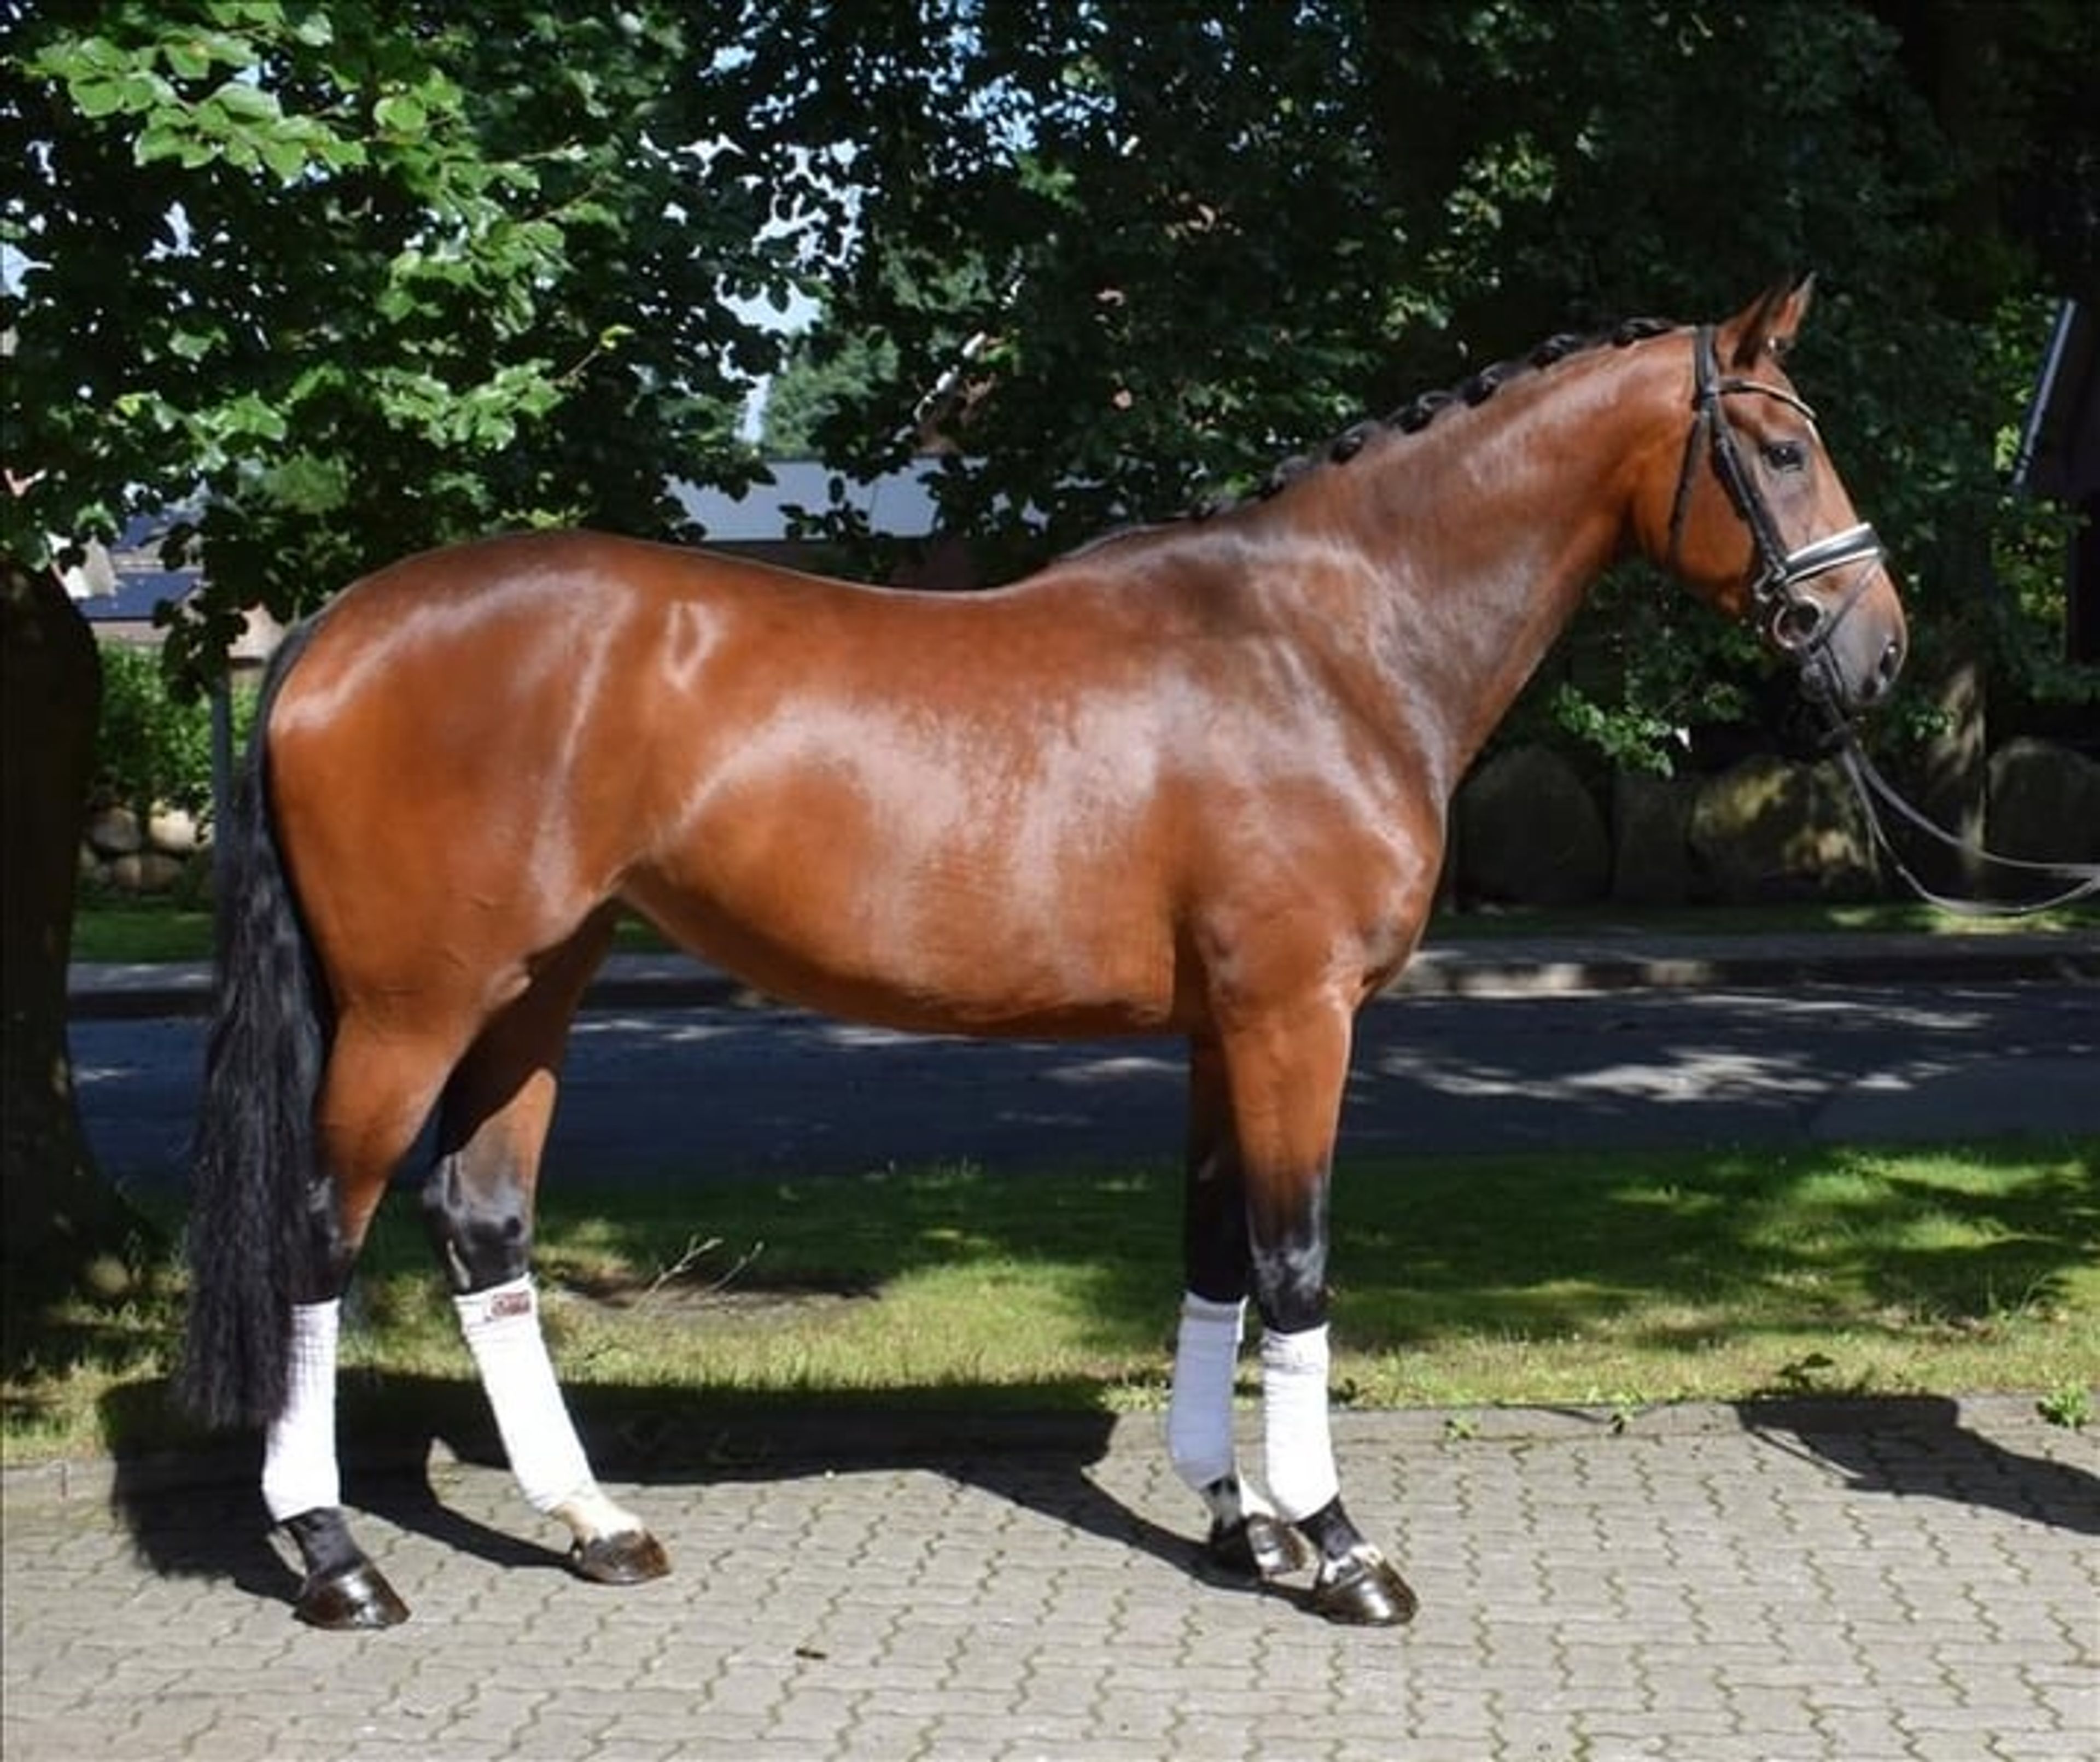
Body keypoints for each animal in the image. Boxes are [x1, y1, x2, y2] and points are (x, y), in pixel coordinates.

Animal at [178, 275, 1906, 1629]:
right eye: (1779, 446)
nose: (1876, 649)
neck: (1327, 642)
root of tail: (336, 625)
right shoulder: (1298, 1017)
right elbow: (1295, 1262)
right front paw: (1340, 1545)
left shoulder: (1228, 1028)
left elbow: (1214, 1253)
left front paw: (1240, 1519)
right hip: (412, 1007)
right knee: (320, 1234)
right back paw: (331, 1554)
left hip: (537, 987)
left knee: (483, 1225)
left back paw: (592, 1524)